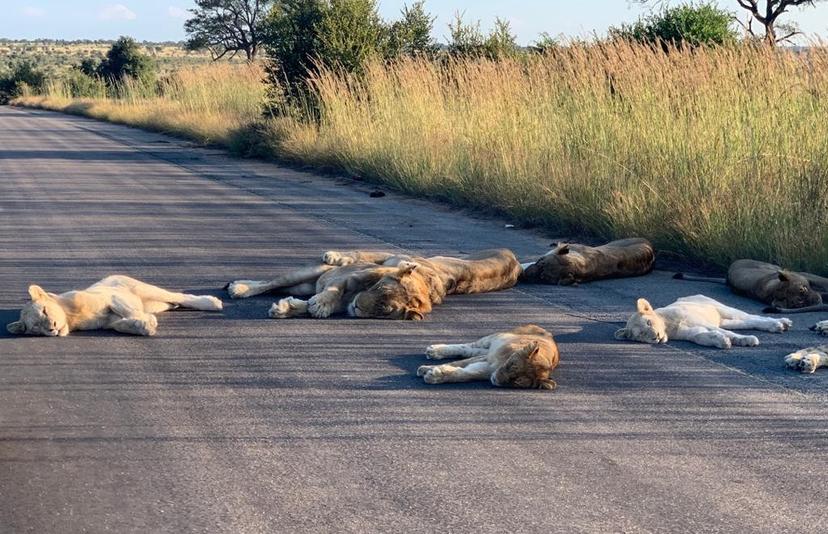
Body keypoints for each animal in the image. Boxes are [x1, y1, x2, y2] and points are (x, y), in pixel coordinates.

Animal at [5, 276, 223, 340]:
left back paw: (213, 302)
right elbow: (120, 325)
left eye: (44, 311)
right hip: (155, 304)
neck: (71, 317)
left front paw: (146, 322)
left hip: (144, 289)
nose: (52, 328)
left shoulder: (110, 297)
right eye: (36, 328)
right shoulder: (108, 322)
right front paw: (143, 325)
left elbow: (127, 310)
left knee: (181, 296)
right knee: (172, 302)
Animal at [418, 324, 560, 392]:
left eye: (516, 382)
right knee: (467, 347)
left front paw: (434, 374)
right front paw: (425, 369)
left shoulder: (487, 368)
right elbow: (459, 363)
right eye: (511, 366)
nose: (496, 379)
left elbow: (465, 374)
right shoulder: (489, 360)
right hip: (493, 338)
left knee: (471, 350)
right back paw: (434, 351)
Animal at [616, 296, 792, 350]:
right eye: (641, 335)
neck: (668, 326)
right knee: (748, 322)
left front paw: (747, 340)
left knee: (752, 317)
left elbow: (730, 334)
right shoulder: (692, 333)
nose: (656, 337)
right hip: (726, 321)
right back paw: (779, 325)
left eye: (648, 322)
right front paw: (722, 341)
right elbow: (702, 337)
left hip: (722, 308)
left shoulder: (699, 321)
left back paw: (780, 323)